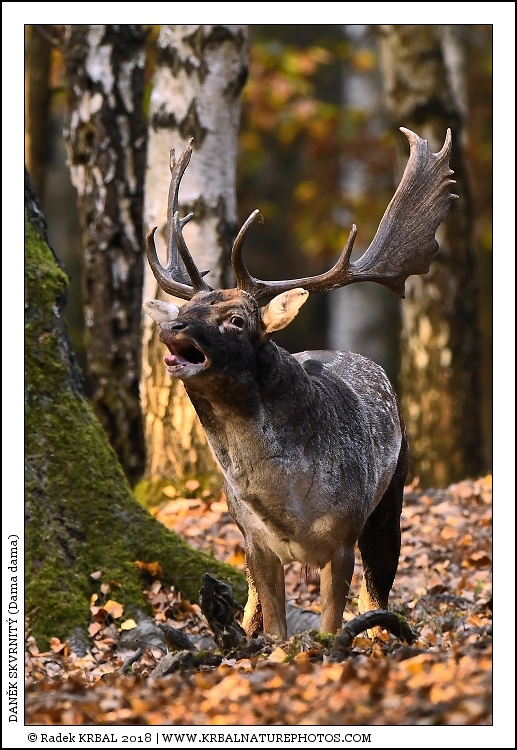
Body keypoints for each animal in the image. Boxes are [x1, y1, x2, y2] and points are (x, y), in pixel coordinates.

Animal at [143, 128, 457, 640]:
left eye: (237, 319)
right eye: (188, 309)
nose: (172, 328)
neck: (289, 510)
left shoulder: (343, 535)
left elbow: (332, 625)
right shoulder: (255, 543)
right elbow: (273, 630)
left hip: (391, 500)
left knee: (377, 594)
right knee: (251, 606)